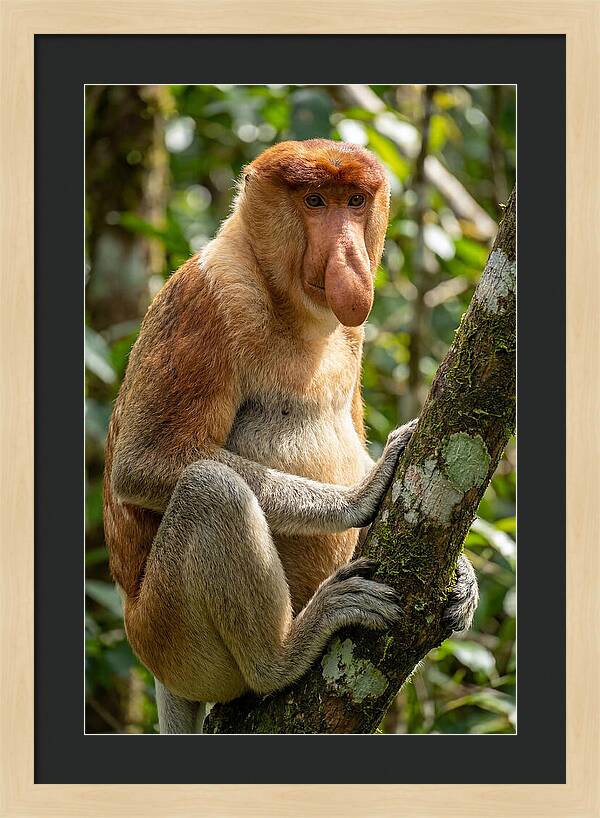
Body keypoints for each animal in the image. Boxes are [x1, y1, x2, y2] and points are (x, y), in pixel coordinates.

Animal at [103, 139, 478, 734]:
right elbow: (144, 462)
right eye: (315, 201)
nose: (349, 257)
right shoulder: (208, 299)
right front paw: (362, 494)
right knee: (211, 490)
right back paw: (284, 654)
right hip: (168, 638)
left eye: (353, 201)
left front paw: (463, 576)